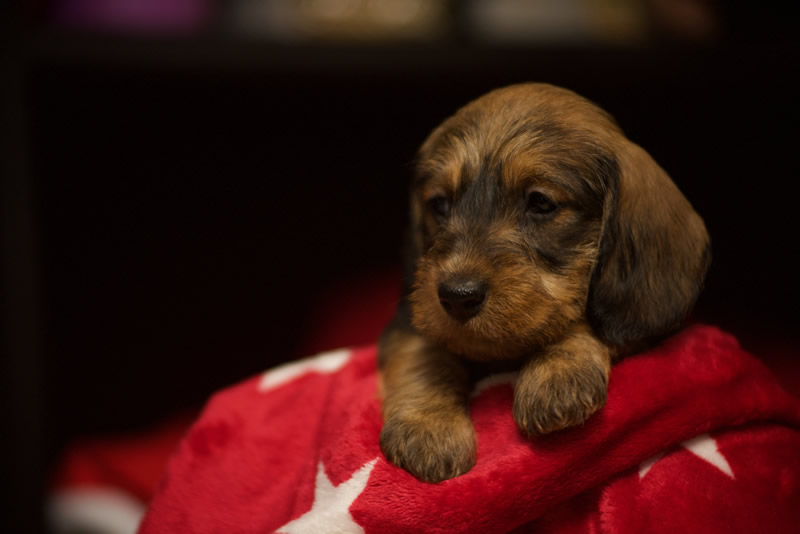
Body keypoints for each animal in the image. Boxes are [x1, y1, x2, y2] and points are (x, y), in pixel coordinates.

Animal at [378, 82, 708, 486]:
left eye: (540, 203)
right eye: (439, 204)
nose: (457, 297)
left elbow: (581, 321)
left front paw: (557, 373)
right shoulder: (412, 316)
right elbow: (424, 354)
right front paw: (429, 425)